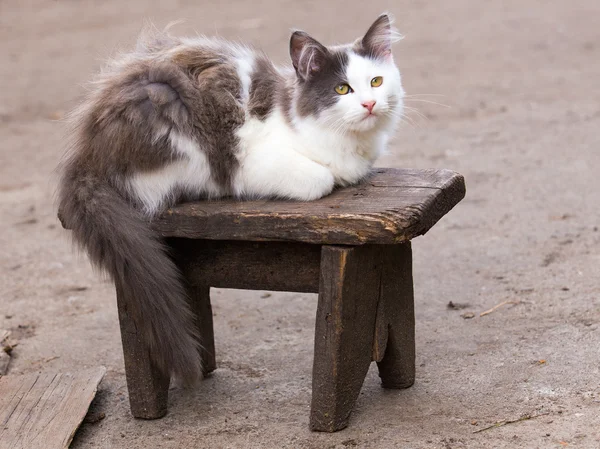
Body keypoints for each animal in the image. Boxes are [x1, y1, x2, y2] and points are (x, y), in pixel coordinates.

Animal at [57, 14, 404, 384]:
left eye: (376, 81)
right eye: (342, 89)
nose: (369, 104)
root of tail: (85, 155)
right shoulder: (251, 162)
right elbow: (321, 179)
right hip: (178, 128)